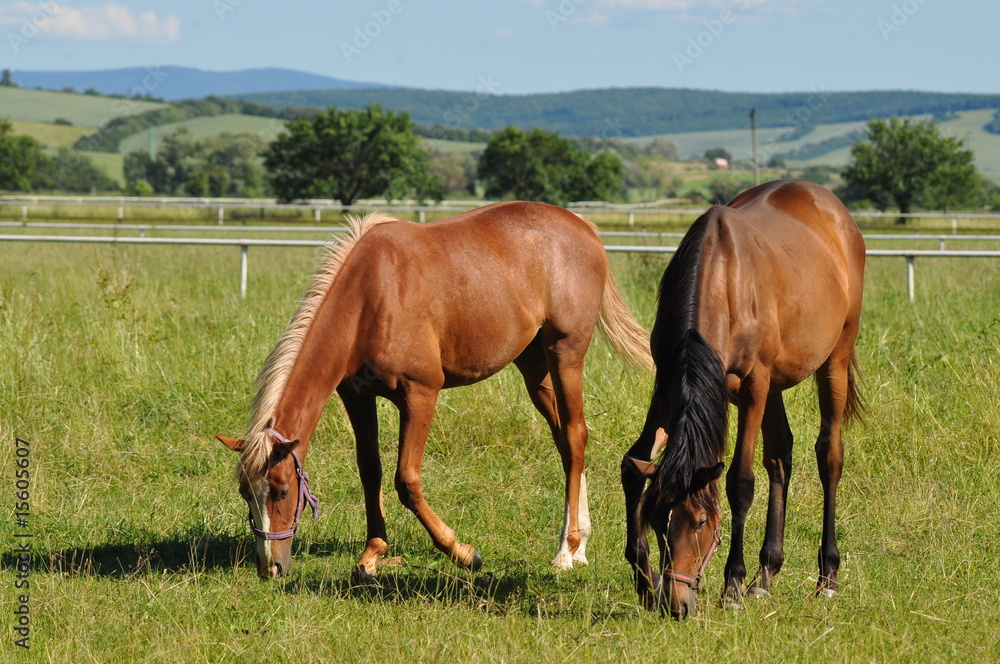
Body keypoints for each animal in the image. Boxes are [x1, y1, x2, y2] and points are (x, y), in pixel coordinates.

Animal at [216, 200, 654, 580]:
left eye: (280, 490)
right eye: (245, 494)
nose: (270, 567)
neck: (372, 297)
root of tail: (583, 226)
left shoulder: (421, 394)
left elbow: (406, 480)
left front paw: (462, 551)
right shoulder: (357, 396)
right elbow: (370, 471)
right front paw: (372, 553)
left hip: (566, 353)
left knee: (577, 436)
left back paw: (567, 550)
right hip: (535, 368)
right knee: (566, 441)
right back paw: (578, 543)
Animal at [620, 179, 866, 619]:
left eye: (701, 522)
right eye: (657, 520)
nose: (677, 604)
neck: (722, 279)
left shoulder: (754, 385)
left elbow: (740, 481)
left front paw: (732, 584)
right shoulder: (669, 382)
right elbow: (633, 466)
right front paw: (645, 582)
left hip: (833, 360)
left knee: (830, 456)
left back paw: (827, 579)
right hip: (777, 385)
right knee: (781, 457)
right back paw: (766, 575)